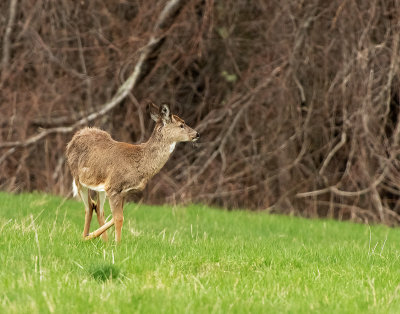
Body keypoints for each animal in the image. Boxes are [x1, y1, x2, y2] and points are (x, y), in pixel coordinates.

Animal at [65, 103, 200, 243]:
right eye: (181, 125)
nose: (197, 134)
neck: (138, 163)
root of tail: (74, 138)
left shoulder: (124, 191)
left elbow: (117, 217)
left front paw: (101, 238)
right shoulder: (114, 187)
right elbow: (118, 218)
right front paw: (117, 244)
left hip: (100, 186)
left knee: (97, 208)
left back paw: (101, 239)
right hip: (78, 179)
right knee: (88, 207)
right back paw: (84, 237)